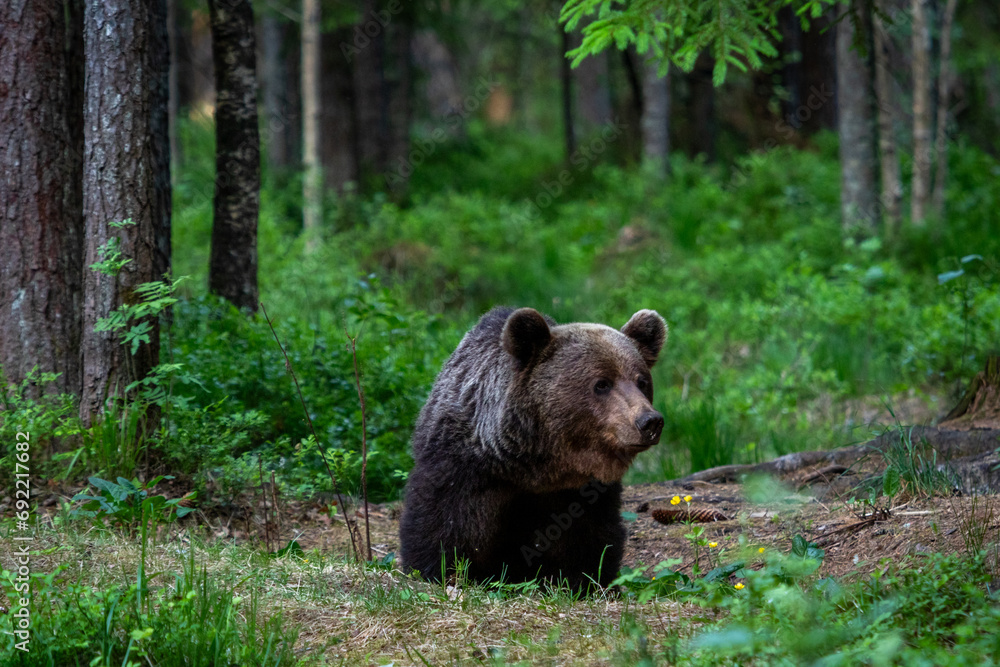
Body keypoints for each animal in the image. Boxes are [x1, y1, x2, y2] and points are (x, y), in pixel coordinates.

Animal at [399, 306, 667, 590]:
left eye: (641, 381)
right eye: (602, 383)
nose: (649, 421)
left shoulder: (581, 492)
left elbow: (589, 541)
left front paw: (587, 580)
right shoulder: (463, 467)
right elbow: (444, 523)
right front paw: (437, 569)